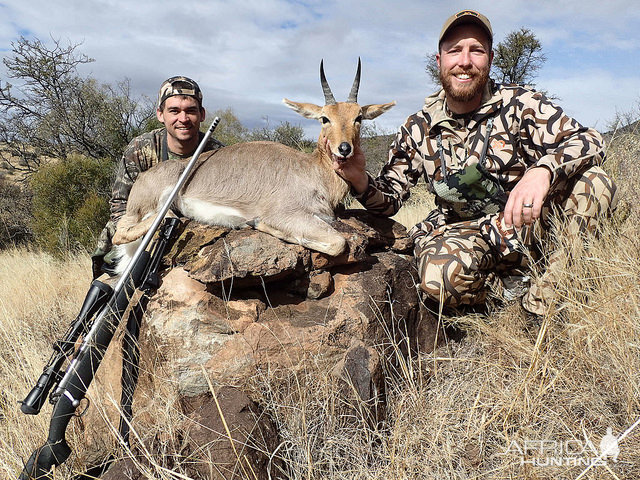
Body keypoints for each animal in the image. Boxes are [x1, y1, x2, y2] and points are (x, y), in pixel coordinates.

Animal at [112, 59, 398, 274]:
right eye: (324, 118)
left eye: (358, 117)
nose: (344, 148)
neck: (313, 171)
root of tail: (145, 177)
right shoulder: (286, 214)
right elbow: (339, 242)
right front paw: (257, 224)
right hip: (140, 210)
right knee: (121, 233)